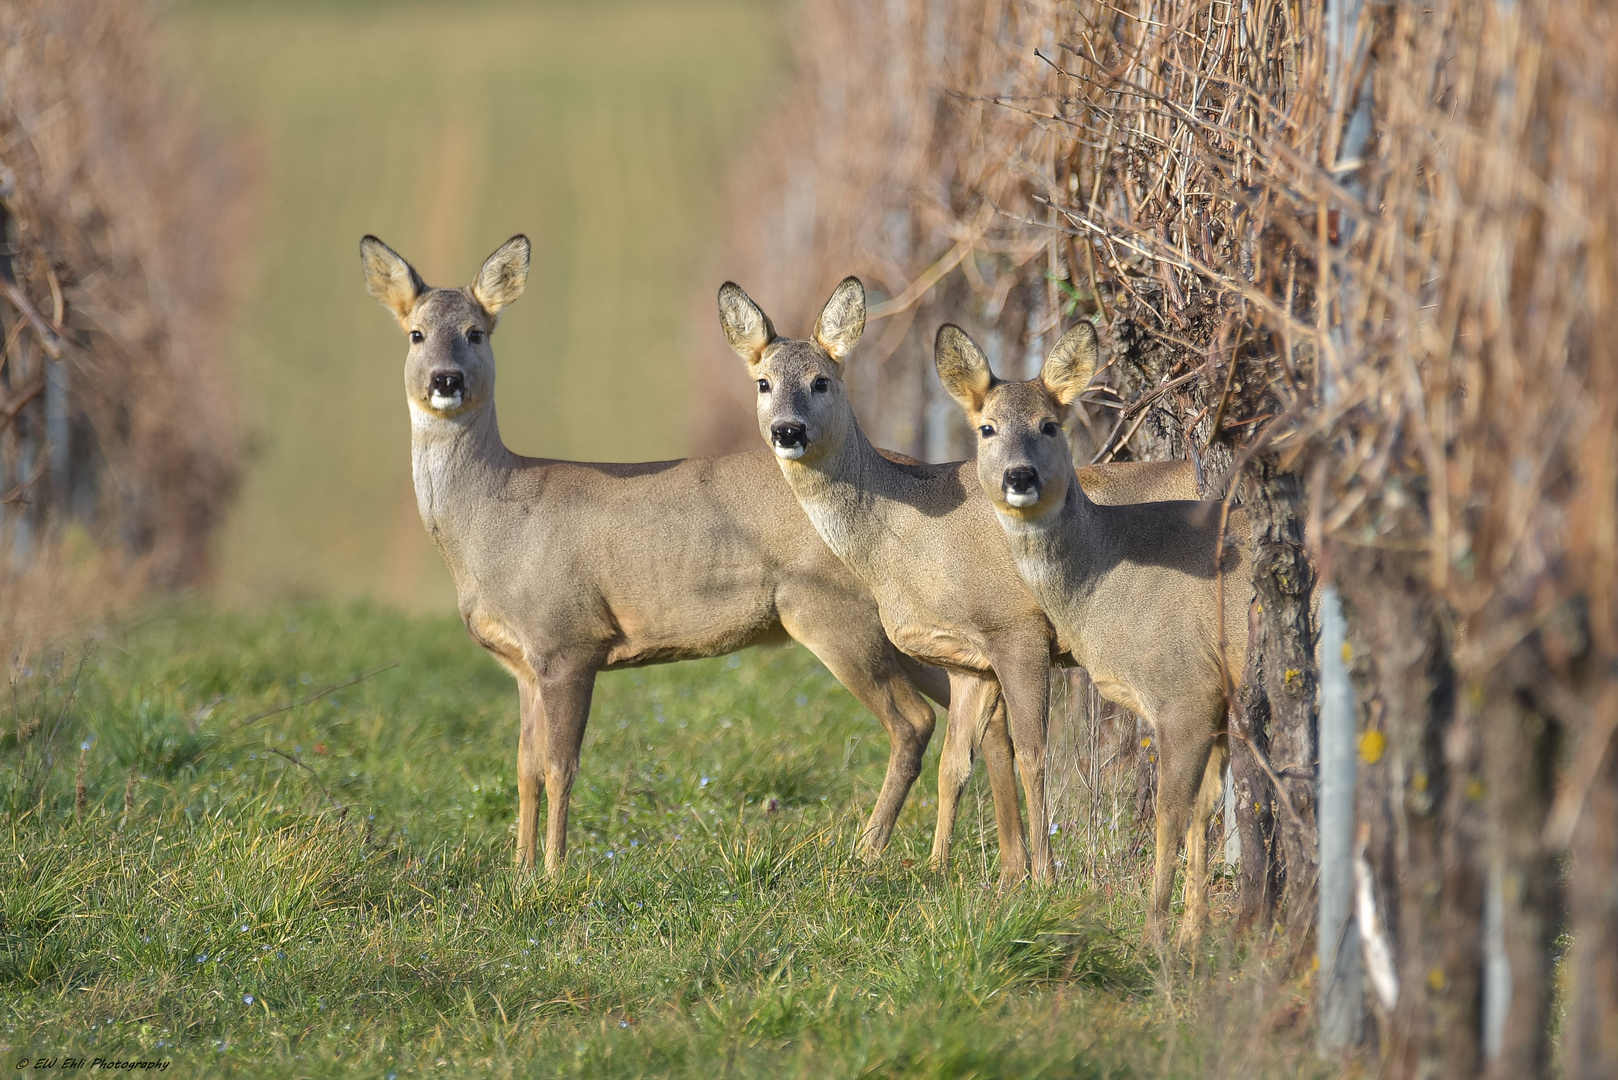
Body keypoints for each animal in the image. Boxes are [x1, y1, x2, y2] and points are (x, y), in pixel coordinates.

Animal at [359, 236, 951, 880]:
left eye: (475, 332)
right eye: (416, 334)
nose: (446, 378)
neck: (492, 517)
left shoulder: (569, 638)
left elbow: (559, 768)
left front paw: (553, 876)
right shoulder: (524, 664)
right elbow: (523, 770)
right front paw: (518, 870)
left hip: (836, 615)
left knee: (914, 722)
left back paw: (865, 854)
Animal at [715, 275, 1197, 880]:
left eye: (821, 380)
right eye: (763, 382)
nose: (787, 430)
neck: (906, 539)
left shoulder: (1017, 630)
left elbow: (1032, 753)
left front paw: (1042, 876)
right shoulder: (968, 657)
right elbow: (957, 761)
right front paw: (941, 868)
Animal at [938, 320, 1249, 945]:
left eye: (1049, 425)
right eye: (987, 428)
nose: (1020, 476)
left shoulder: (1184, 688)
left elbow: (1171, 814)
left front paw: (1155, 935)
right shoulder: (1214, 698)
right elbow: (1203, 810)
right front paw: (1192, 933)